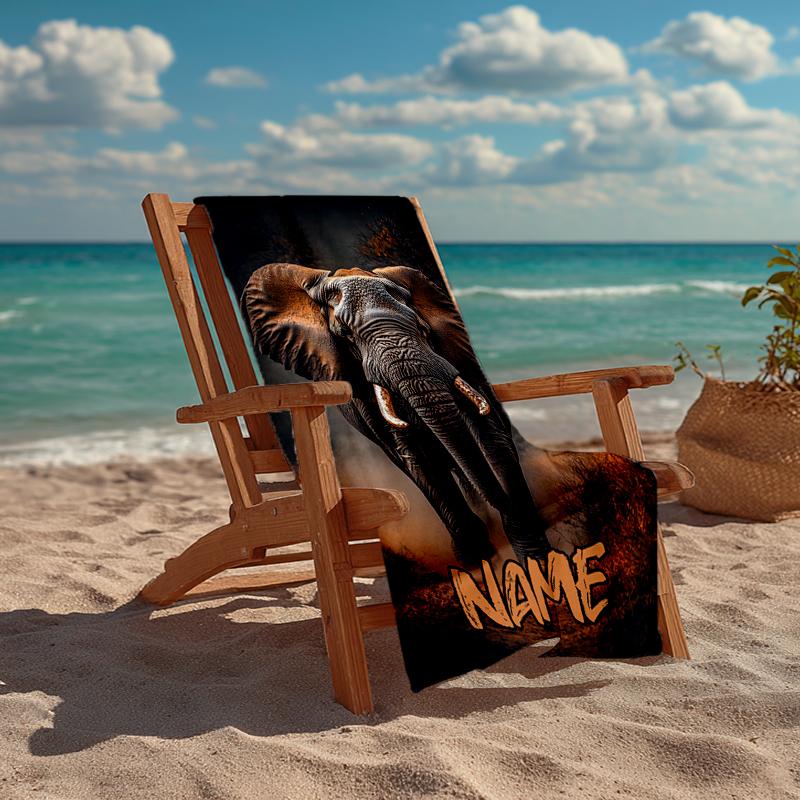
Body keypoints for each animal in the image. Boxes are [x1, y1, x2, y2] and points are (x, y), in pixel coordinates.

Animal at [242, 263, 551, 566]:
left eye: (422, 328)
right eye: (345, 335)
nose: (508, 518)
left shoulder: (456, 353)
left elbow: (490, 433)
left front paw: (533, 554)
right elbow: (416, 454)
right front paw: (477, 557)